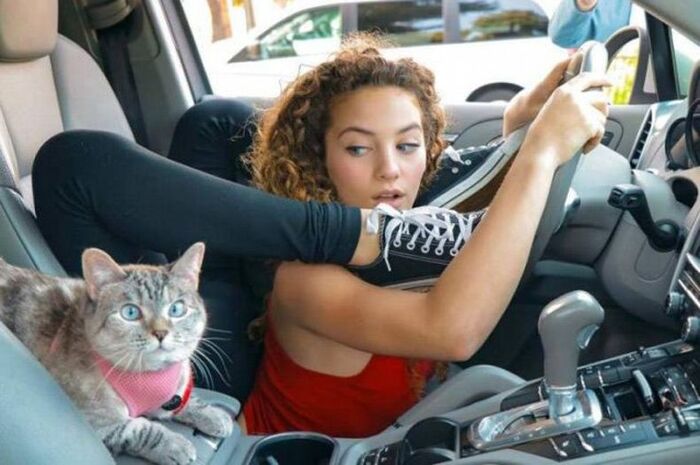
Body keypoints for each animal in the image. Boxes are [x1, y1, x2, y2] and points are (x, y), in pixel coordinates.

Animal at [0, 242, 234, 465]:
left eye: (176, 309)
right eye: (130, 312)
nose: (161, 333)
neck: (149, 374)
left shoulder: (169, 397)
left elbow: (182, 400)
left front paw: (213, 414)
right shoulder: (96, 424)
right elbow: (141, 429)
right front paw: (175, 445)